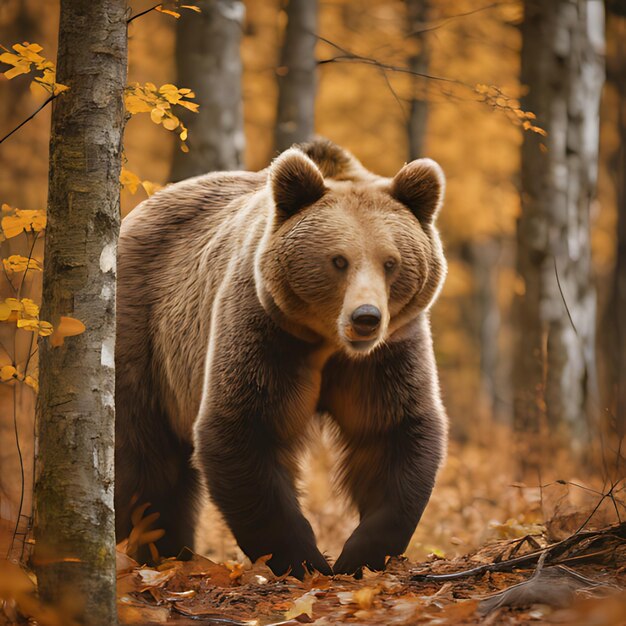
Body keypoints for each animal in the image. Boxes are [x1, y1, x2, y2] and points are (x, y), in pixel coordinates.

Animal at [114, 139, 446, 576]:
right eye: (338, 260)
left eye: (391, 262)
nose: (366, 318)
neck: (327, 343)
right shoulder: (267, 332)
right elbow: (244, 428)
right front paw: (303, 560)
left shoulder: (385, 355)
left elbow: (392, 432)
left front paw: (360, 556)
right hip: (144, 332)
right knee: (144, 455)